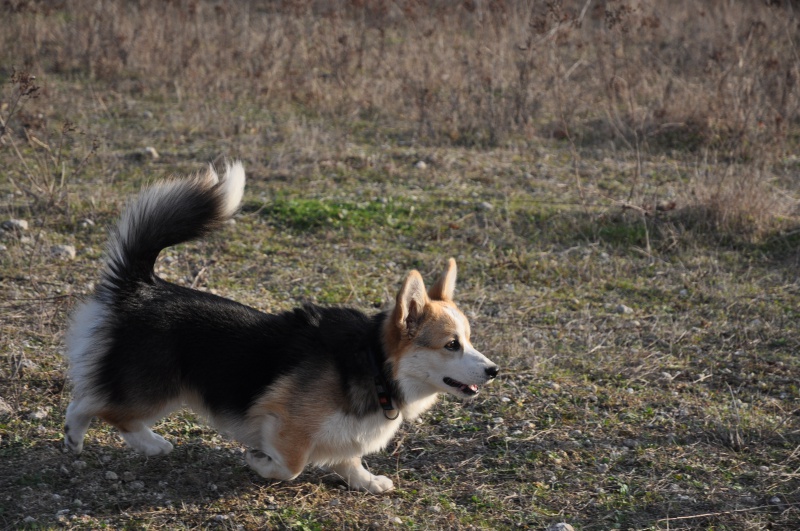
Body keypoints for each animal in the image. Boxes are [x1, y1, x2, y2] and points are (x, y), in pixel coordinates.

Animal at [64, 163, 500, 494]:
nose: (495, 371)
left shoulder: (344, 436)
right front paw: (259, 463)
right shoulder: (287, 424)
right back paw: (152, 445)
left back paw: (74, 437)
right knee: (108, 409)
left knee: (86, 399)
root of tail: (142, 286)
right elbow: (293, 464)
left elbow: (349, 458)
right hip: (157, 390)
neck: (375, 365)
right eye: (451, 345)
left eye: (469, 340)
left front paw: (367, 481)